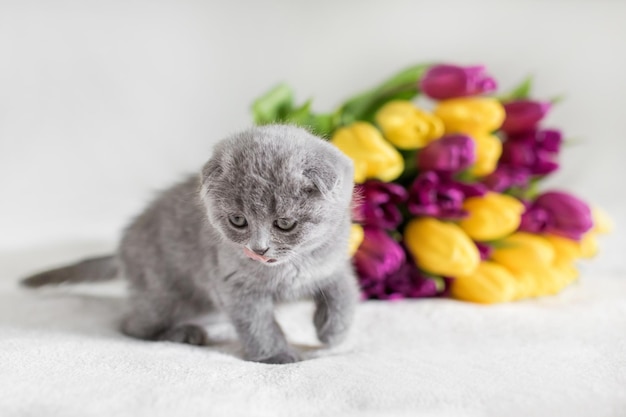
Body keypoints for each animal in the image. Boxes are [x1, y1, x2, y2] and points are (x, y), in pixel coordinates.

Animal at [22, 124, 358, 364]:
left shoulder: (332, 263)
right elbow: (258, 324)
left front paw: (331, 331)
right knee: (133, 326)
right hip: (164, 294)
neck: (290, 269)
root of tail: (122, 249)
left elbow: (344, 293)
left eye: (285, 224)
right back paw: (185, 333)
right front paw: (276, 355)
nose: (258, 248)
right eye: (238, 220)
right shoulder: (234, 285)